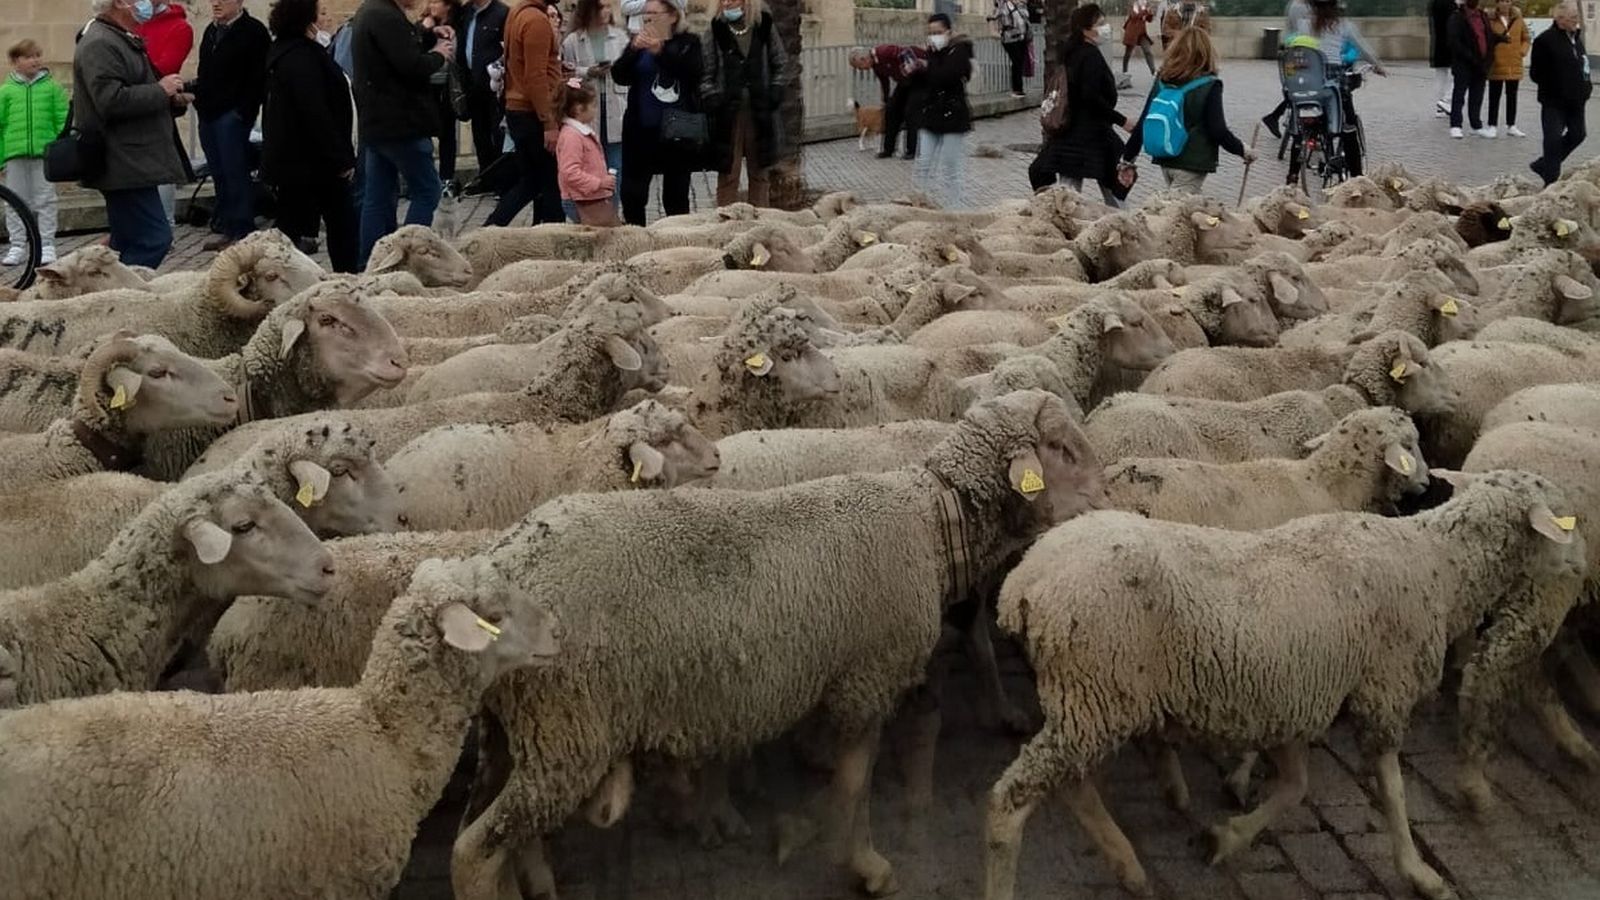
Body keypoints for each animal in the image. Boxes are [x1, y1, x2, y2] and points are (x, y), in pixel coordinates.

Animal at [450, 390, 1105, 900]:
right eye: (1062, 449)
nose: (1107, 502)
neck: (929, 519)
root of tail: (498, 566)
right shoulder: (867, 679)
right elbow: (853, 785)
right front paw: (861, 864)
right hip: (570, 728)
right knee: (472, 852)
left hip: (528, 729)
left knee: (502, 832)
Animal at [983, 470, 1587, 900]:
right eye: (1565, 521)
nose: (1584, 571)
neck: (1439, 565)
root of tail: (1023, 585)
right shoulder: (1382, 690)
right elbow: (1392, 792)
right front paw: (1418, 872)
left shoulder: (1293, 696)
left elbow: (1294, 787)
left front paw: (1225, 836)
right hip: (1096, 694)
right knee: (1013, 798)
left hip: (1091, 702)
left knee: (1071, 786)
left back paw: (1127, 865)